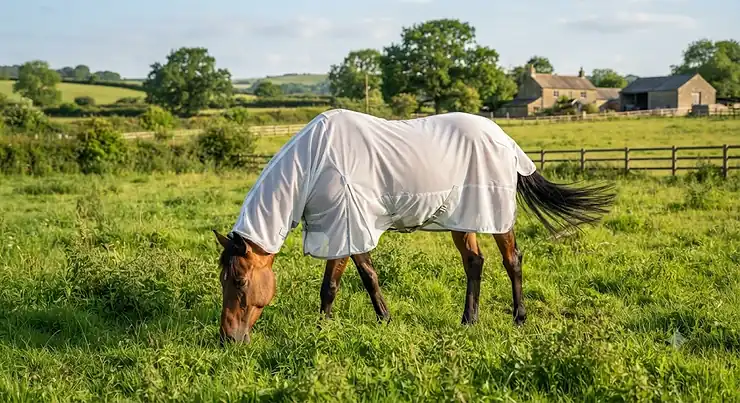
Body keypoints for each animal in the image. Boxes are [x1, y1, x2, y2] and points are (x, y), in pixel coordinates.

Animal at [212, 109, 615, 343]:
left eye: (240, 281)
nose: (228, 338)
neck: (314, 163)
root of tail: (506, 140)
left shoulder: (343, 226)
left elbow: (330, 286)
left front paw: (321, 331)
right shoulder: (351, 229)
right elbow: (369, 277)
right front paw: (385, 320)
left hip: (494, 214)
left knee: (511, 260)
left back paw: (518, 318)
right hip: (461, 218)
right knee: (475, 263)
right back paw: (468, 321)